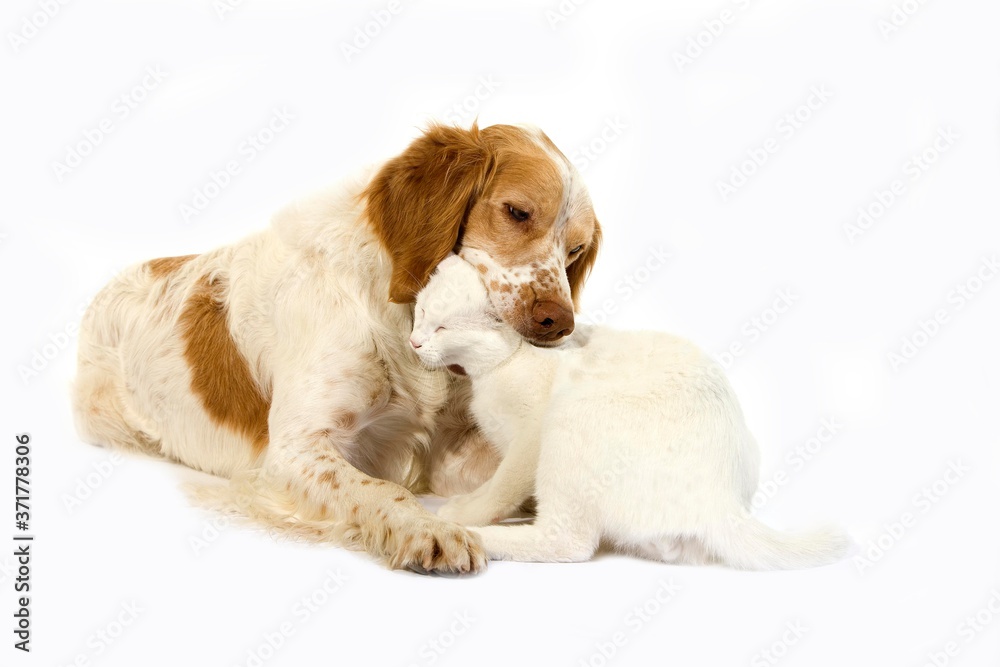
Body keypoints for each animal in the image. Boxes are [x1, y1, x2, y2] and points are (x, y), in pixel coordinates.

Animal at [74, 124, 600, 576]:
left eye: (576, 250)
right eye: (517, 212)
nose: (560, 323)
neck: (397, 313)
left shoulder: (450, 449)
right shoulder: (295, 450)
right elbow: (382, 490)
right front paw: (426, 528)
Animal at [410, 256, 848, 568]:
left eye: (443, 329)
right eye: (421, 313)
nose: (413, 342)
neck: (501, 366)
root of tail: (720, 500)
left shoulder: (530, 438)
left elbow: (502, 486)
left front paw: (470, 509)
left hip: (568, 419)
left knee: (567, 541)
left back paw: (467, 533)